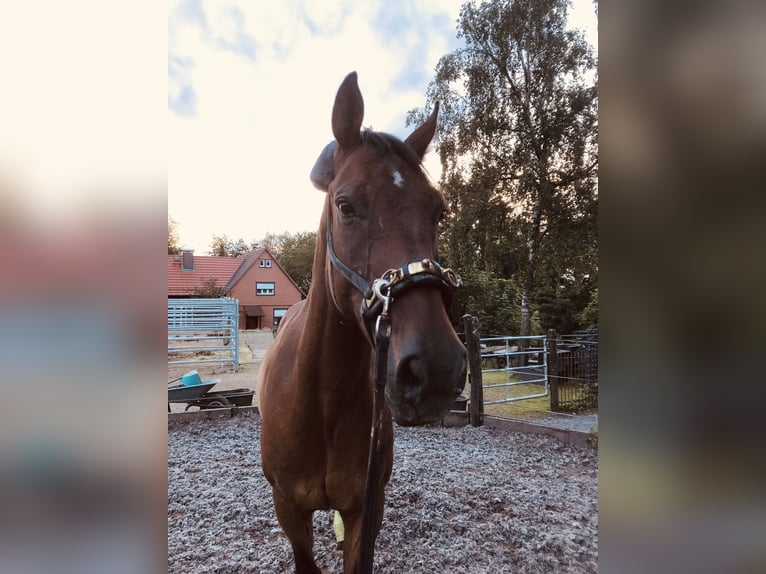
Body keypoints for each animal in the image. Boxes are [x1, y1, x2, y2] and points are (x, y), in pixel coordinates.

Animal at [260, 73, 468, 574]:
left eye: (439, 210)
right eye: (346, 205)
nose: (436, 368)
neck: (321, 399)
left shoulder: (366, 510)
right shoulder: (288, 510)